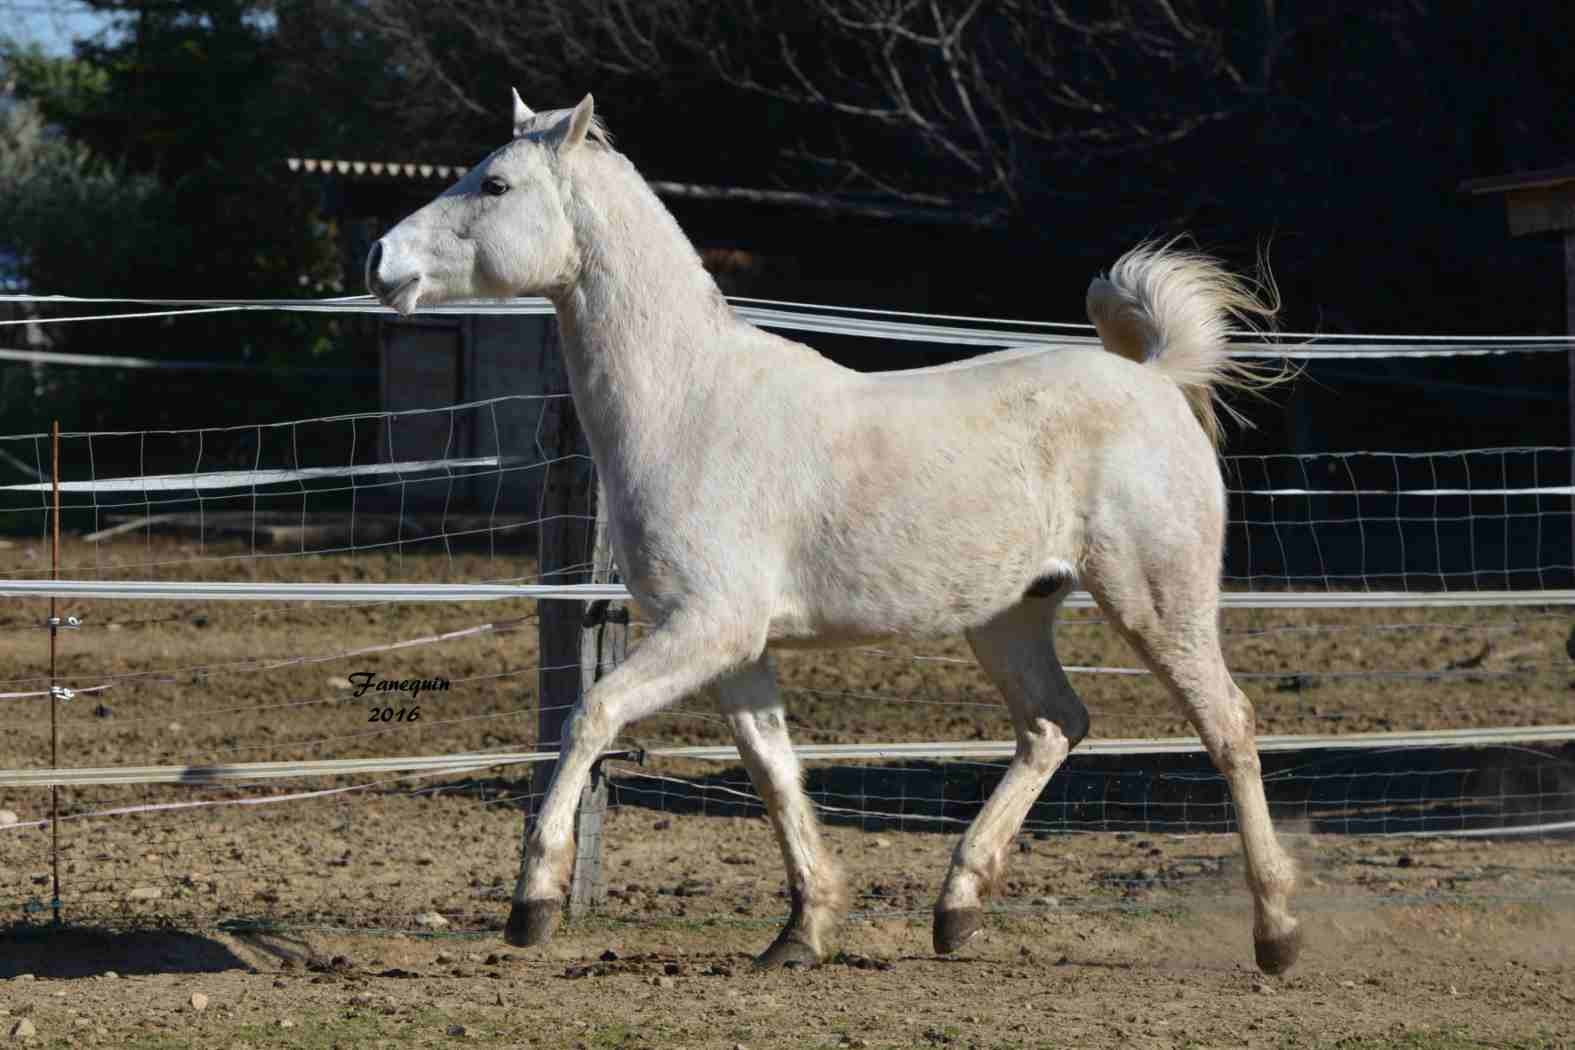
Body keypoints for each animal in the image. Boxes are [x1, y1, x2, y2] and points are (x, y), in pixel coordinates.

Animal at [368, 90, 1304, 976]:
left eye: (495, 185)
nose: (380, 261)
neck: (689, 405)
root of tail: (1156, 379)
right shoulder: (733, 647)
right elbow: (774, 769)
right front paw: (801, 932)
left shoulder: (707, 628)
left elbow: (591, 716)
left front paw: (532, 903)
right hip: (1009, 615)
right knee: (1052, 725)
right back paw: (956, 908)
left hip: (1156, 602)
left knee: (1226, 725)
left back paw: (1277, 933)